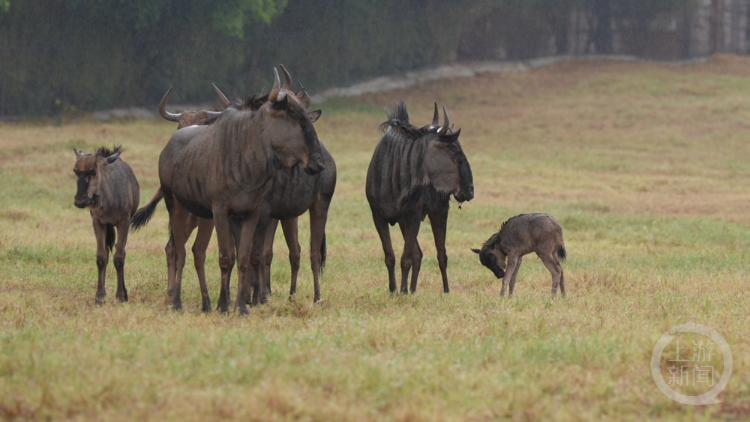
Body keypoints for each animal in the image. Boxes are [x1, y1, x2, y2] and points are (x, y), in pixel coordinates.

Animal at [72, 147, 140, 304]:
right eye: (75, 171)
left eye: (93, 171)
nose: (80, 201)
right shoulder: (98, 222)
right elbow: (101, 257)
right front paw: (99, 296)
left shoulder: (124, 222)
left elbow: (119, 258)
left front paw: (121, 296)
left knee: (121, 253)